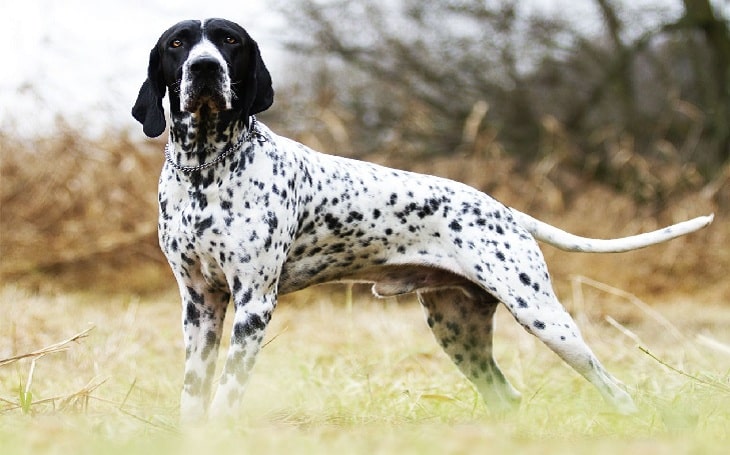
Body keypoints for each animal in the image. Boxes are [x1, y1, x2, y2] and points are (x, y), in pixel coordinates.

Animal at [131, 18, 712, 424]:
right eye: (178, 45)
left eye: (228, 41)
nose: (204, 67)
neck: (206, 170)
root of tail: (502, 209)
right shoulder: (200, 304)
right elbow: (194, 393)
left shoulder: (254, 302)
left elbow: (227, 392)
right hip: (457, 328)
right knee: (507, 397)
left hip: (543, 317)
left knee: (615, 389)